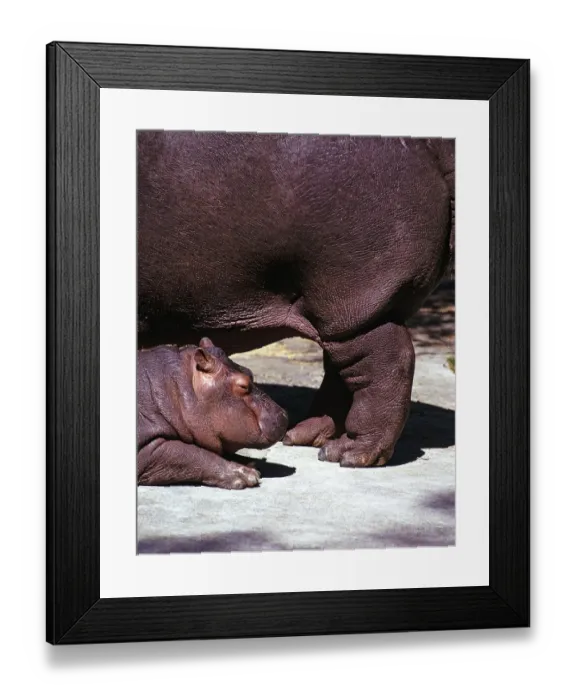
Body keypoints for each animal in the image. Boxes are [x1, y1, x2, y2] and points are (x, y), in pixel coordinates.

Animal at [138, 132, 454, 468]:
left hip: (354, 302)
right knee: (343, 373)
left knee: (386, 363)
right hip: (335, 312)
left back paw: (348, 453)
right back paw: (301, 435)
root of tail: (432, 145)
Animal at [138, 339, 289, 489]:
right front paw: (246, 474)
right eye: (243, 385)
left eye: (249, 371)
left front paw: (249, 464)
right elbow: (190, 454)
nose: (284, 415)